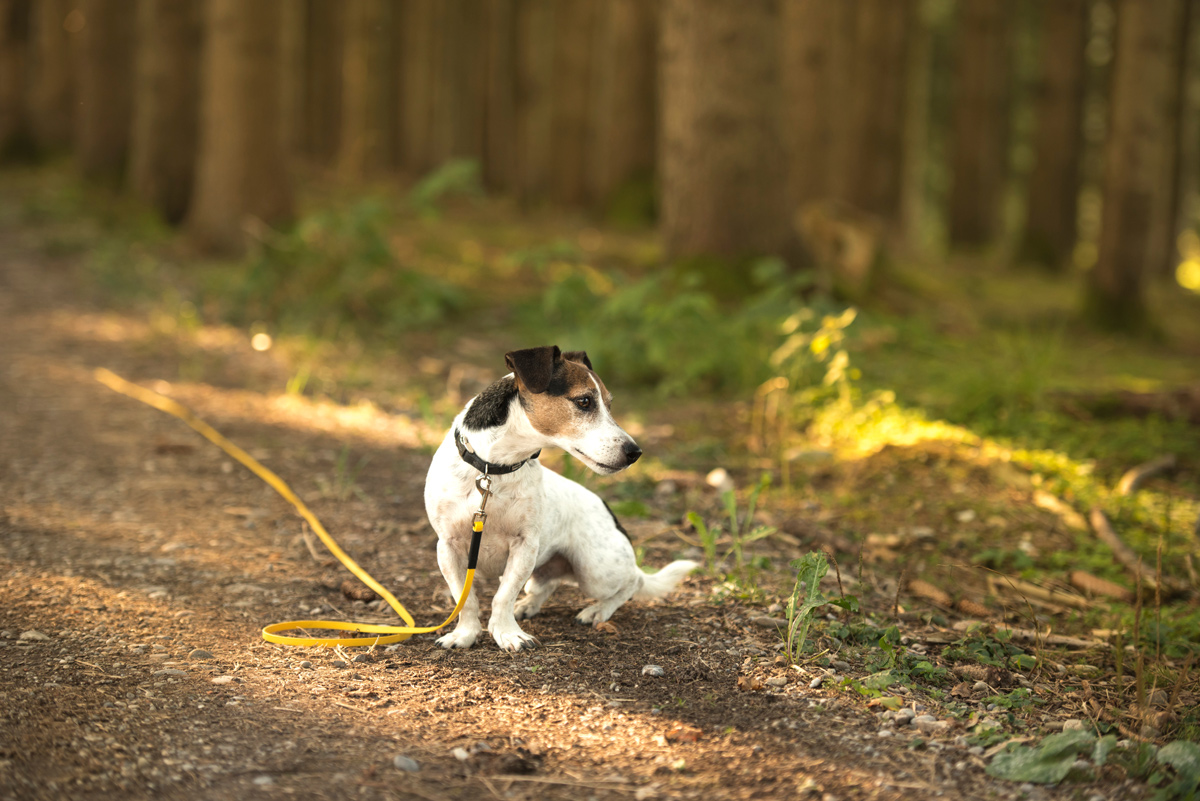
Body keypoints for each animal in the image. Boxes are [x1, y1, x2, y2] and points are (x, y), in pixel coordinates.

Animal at [427, 345, 700, 652]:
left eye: (609, 405)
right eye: (584, 401)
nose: (635, 453)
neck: (492, 469)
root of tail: (611, 515)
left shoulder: (524, 545)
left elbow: (503, 596)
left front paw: (507, 633)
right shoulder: (448, 547)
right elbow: (465, 599)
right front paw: (465, 634)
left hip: (596, 571)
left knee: (631, 583)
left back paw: (597, 611)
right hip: (547, 570)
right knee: (547, 584)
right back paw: (528, 604)